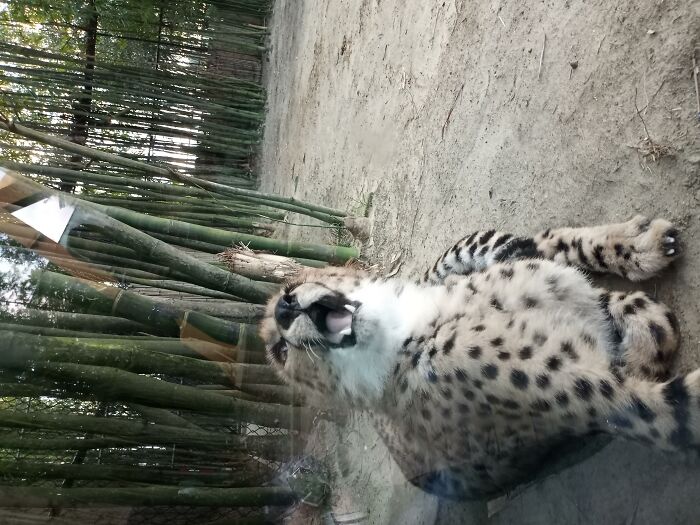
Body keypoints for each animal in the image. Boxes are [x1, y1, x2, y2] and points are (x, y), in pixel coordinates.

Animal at [259, 215, 695, 501]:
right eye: (281, 352)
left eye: (290, 286)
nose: (285, 309)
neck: (401, 328)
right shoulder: (621, 404)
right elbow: (673, 397)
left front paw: (637, 251)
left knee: (525, 241)